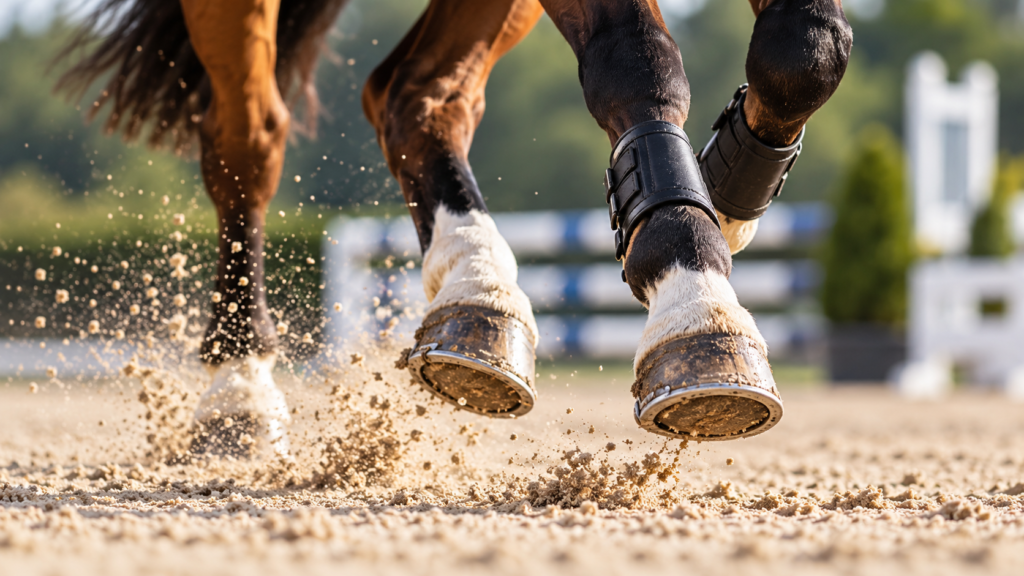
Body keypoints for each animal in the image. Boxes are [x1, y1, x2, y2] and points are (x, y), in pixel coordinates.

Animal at [58, 0, 852, 457]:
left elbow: (806, 49)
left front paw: (723, 192)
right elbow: (636, 54)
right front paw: (698, 306)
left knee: (418, 93)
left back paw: (477, 295)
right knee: (248, 138)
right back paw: (241, 390)